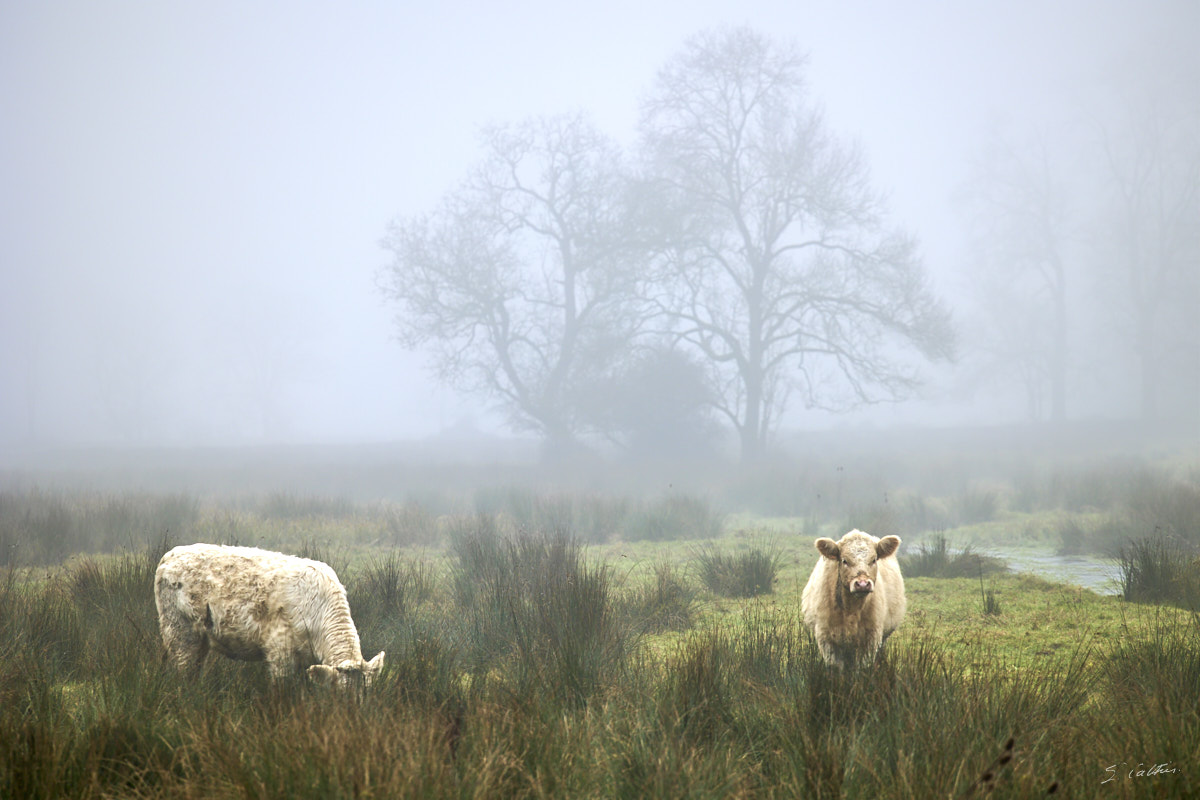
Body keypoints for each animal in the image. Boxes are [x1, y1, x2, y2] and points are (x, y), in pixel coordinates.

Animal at [152, 544, 381, 690]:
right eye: (340, 693)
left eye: (365, 695)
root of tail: (171, 554)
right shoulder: (280, 652)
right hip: (179, 631)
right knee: (182, 669)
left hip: (200, 640)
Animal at [801, 527, 902, 666]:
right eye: (844, 560)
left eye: (874, 559)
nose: (862, 584)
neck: (851, 610)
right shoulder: (826, 639)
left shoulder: (871, 639)